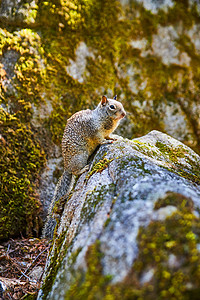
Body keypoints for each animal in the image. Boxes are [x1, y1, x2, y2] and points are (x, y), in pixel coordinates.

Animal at [43, 95, 126, 238]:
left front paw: (113, 138)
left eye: (121, 104)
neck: (105, 119)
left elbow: (108, 135)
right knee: (76, 172)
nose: (124, 114)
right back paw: (84, 169)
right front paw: (107, 142)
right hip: (80, 157)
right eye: (112, 107)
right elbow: (100, 139)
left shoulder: (107, 132)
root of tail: (66, 167)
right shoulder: (94, 131)